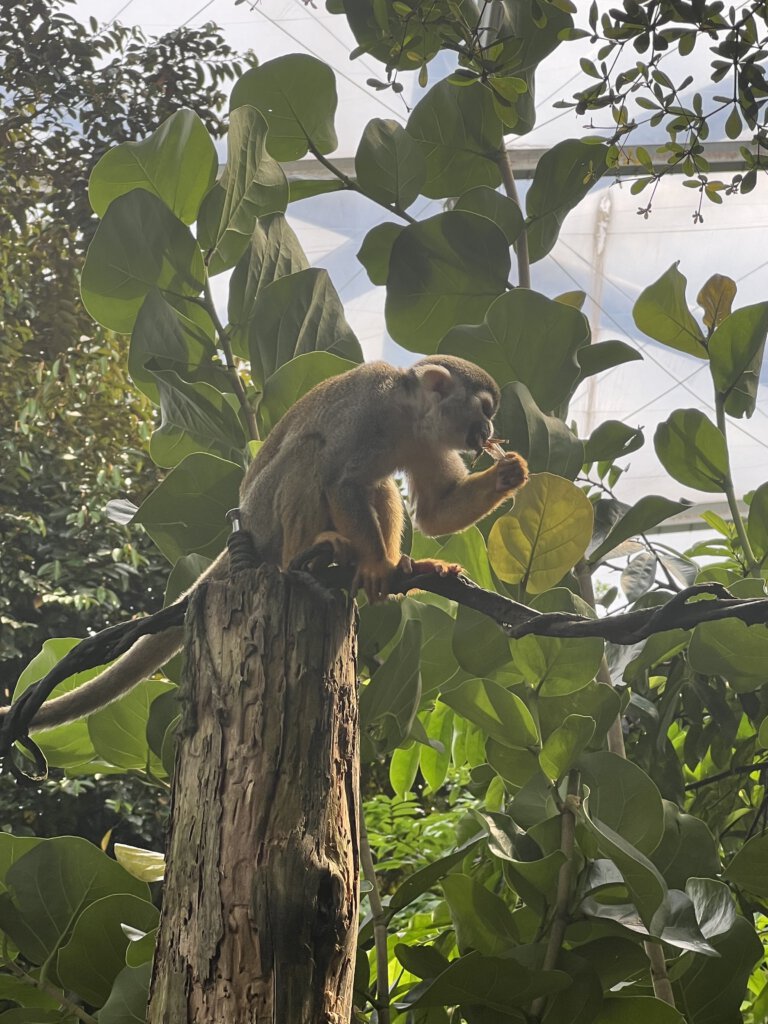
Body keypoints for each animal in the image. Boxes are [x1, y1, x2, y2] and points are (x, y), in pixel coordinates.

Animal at [4, 356, 528, 733]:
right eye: (484, 410)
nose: (487, 433)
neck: (408, 418)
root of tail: (245, 524)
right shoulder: (369, 414)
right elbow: (341, 482)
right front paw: (378, 566)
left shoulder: (429, 440)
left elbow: (437, 511)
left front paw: (510, 474)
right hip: (263, 515)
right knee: (314, 453)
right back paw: (313, 555)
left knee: (375, 483)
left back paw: (403, 565)